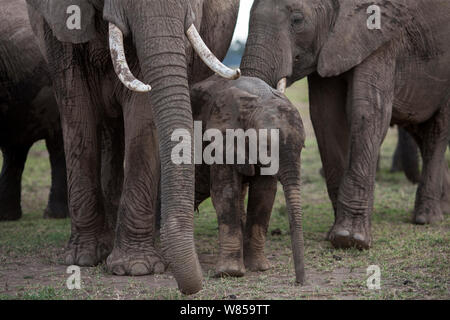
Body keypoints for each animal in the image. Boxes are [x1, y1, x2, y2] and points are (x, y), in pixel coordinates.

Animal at [190, 76, 306, 284]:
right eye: (266, 147)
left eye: (303, 146)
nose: (300, 281)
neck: (258, 97)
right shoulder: (221, 137)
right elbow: (225, 191)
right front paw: (230, 273)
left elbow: (264, 193)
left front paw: (259, 268)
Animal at [243, 0, 450, 249]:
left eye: (297, 20)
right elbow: (325, 118)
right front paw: (335, 234)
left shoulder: (381, 35)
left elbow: (368, 112)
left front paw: (349, 239)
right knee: (420, 131)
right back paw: (443, 208)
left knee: (437, 132)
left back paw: (426, 218)